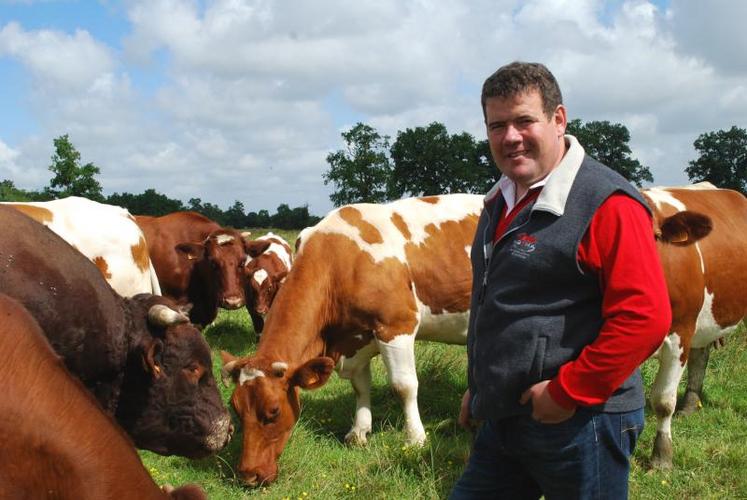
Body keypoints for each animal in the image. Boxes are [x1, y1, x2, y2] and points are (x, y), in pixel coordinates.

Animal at [219, 194, 482, 484]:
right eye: (236, 409)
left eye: (273, 411)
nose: (248, 475)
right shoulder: (355, 338)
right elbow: (360, 386)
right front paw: (359, 431)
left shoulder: (396, 327)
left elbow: (404, 386)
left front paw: (415, 438)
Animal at [644, 183, 747, 468]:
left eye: (654, 237)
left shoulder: (680, 333)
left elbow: (663, 401)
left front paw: (661, 458)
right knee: (701, 355)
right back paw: (689, 405)